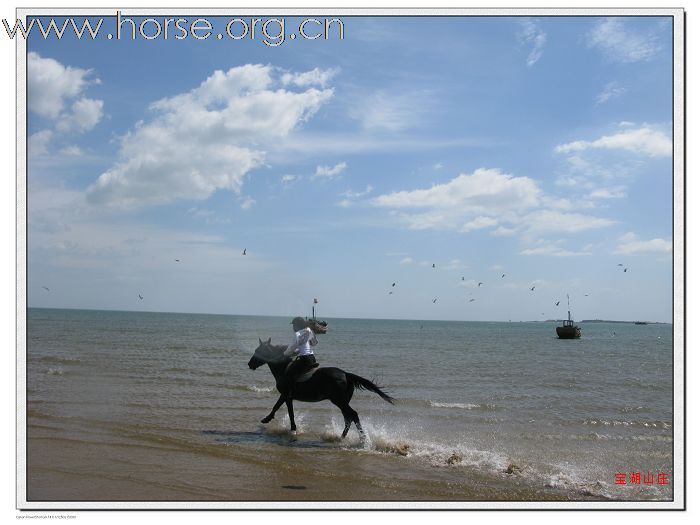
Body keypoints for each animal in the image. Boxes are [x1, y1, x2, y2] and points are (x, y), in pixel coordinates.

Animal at [247, 338, 394, 436]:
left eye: (258, 350)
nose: (250, 364)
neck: (283, 368)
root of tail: (346, 374)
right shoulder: (286, 396)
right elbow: (277, 407)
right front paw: (267, 419)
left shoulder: (286, 395)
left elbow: (288, 411)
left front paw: (293, 429)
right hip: (342, 402)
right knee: (348, 418)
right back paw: (342, 437)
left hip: (339, 401)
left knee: (353, 415)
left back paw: (362, 439)